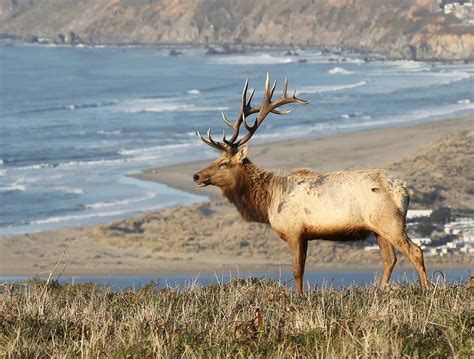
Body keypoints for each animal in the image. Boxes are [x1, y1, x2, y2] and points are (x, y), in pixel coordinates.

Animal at [193, 74, 430, 296]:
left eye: (223, 163)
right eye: (215, 159)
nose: (196, 176)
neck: (268, 202)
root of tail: (404, 193)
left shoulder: (295, 230)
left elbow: (297, 270)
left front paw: (297, 297)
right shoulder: (305, 234)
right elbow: (301, 268)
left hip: (390, 221)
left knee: (415, 251)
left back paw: (427, 289)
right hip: (377, 228)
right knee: (390, 259)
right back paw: (379, 291)